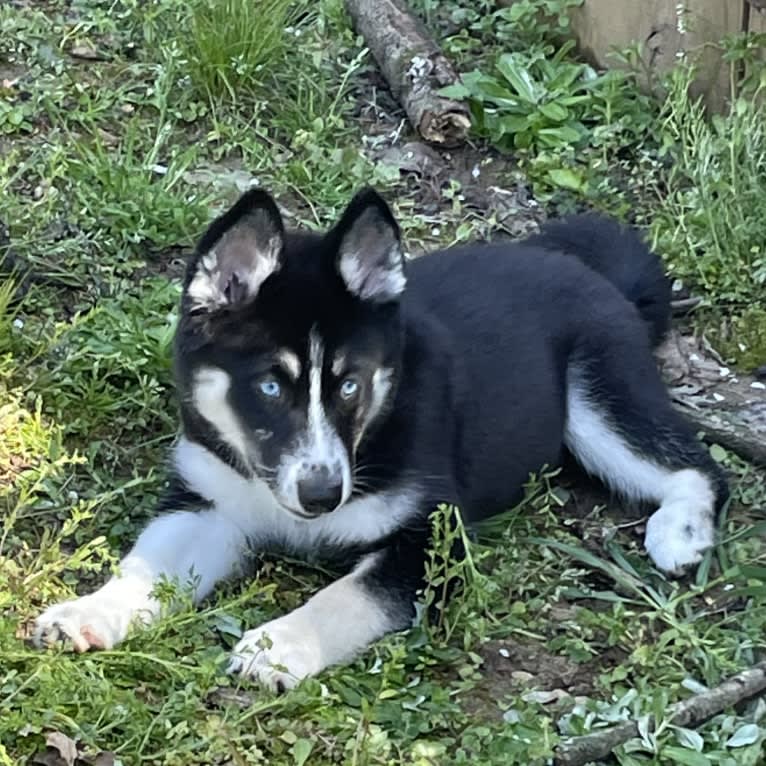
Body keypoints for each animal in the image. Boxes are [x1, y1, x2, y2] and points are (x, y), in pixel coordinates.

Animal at [36, 189, 728, 692]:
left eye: (350, 386)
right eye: (269, 387)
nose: (322, 497)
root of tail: (589, 271)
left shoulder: (430, 540)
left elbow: (345, 595)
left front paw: (280, 645)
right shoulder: (209, 504)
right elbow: (145, 568)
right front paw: (89, 613)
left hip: (598, 394)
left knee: (698, 467)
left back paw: (679, 533)